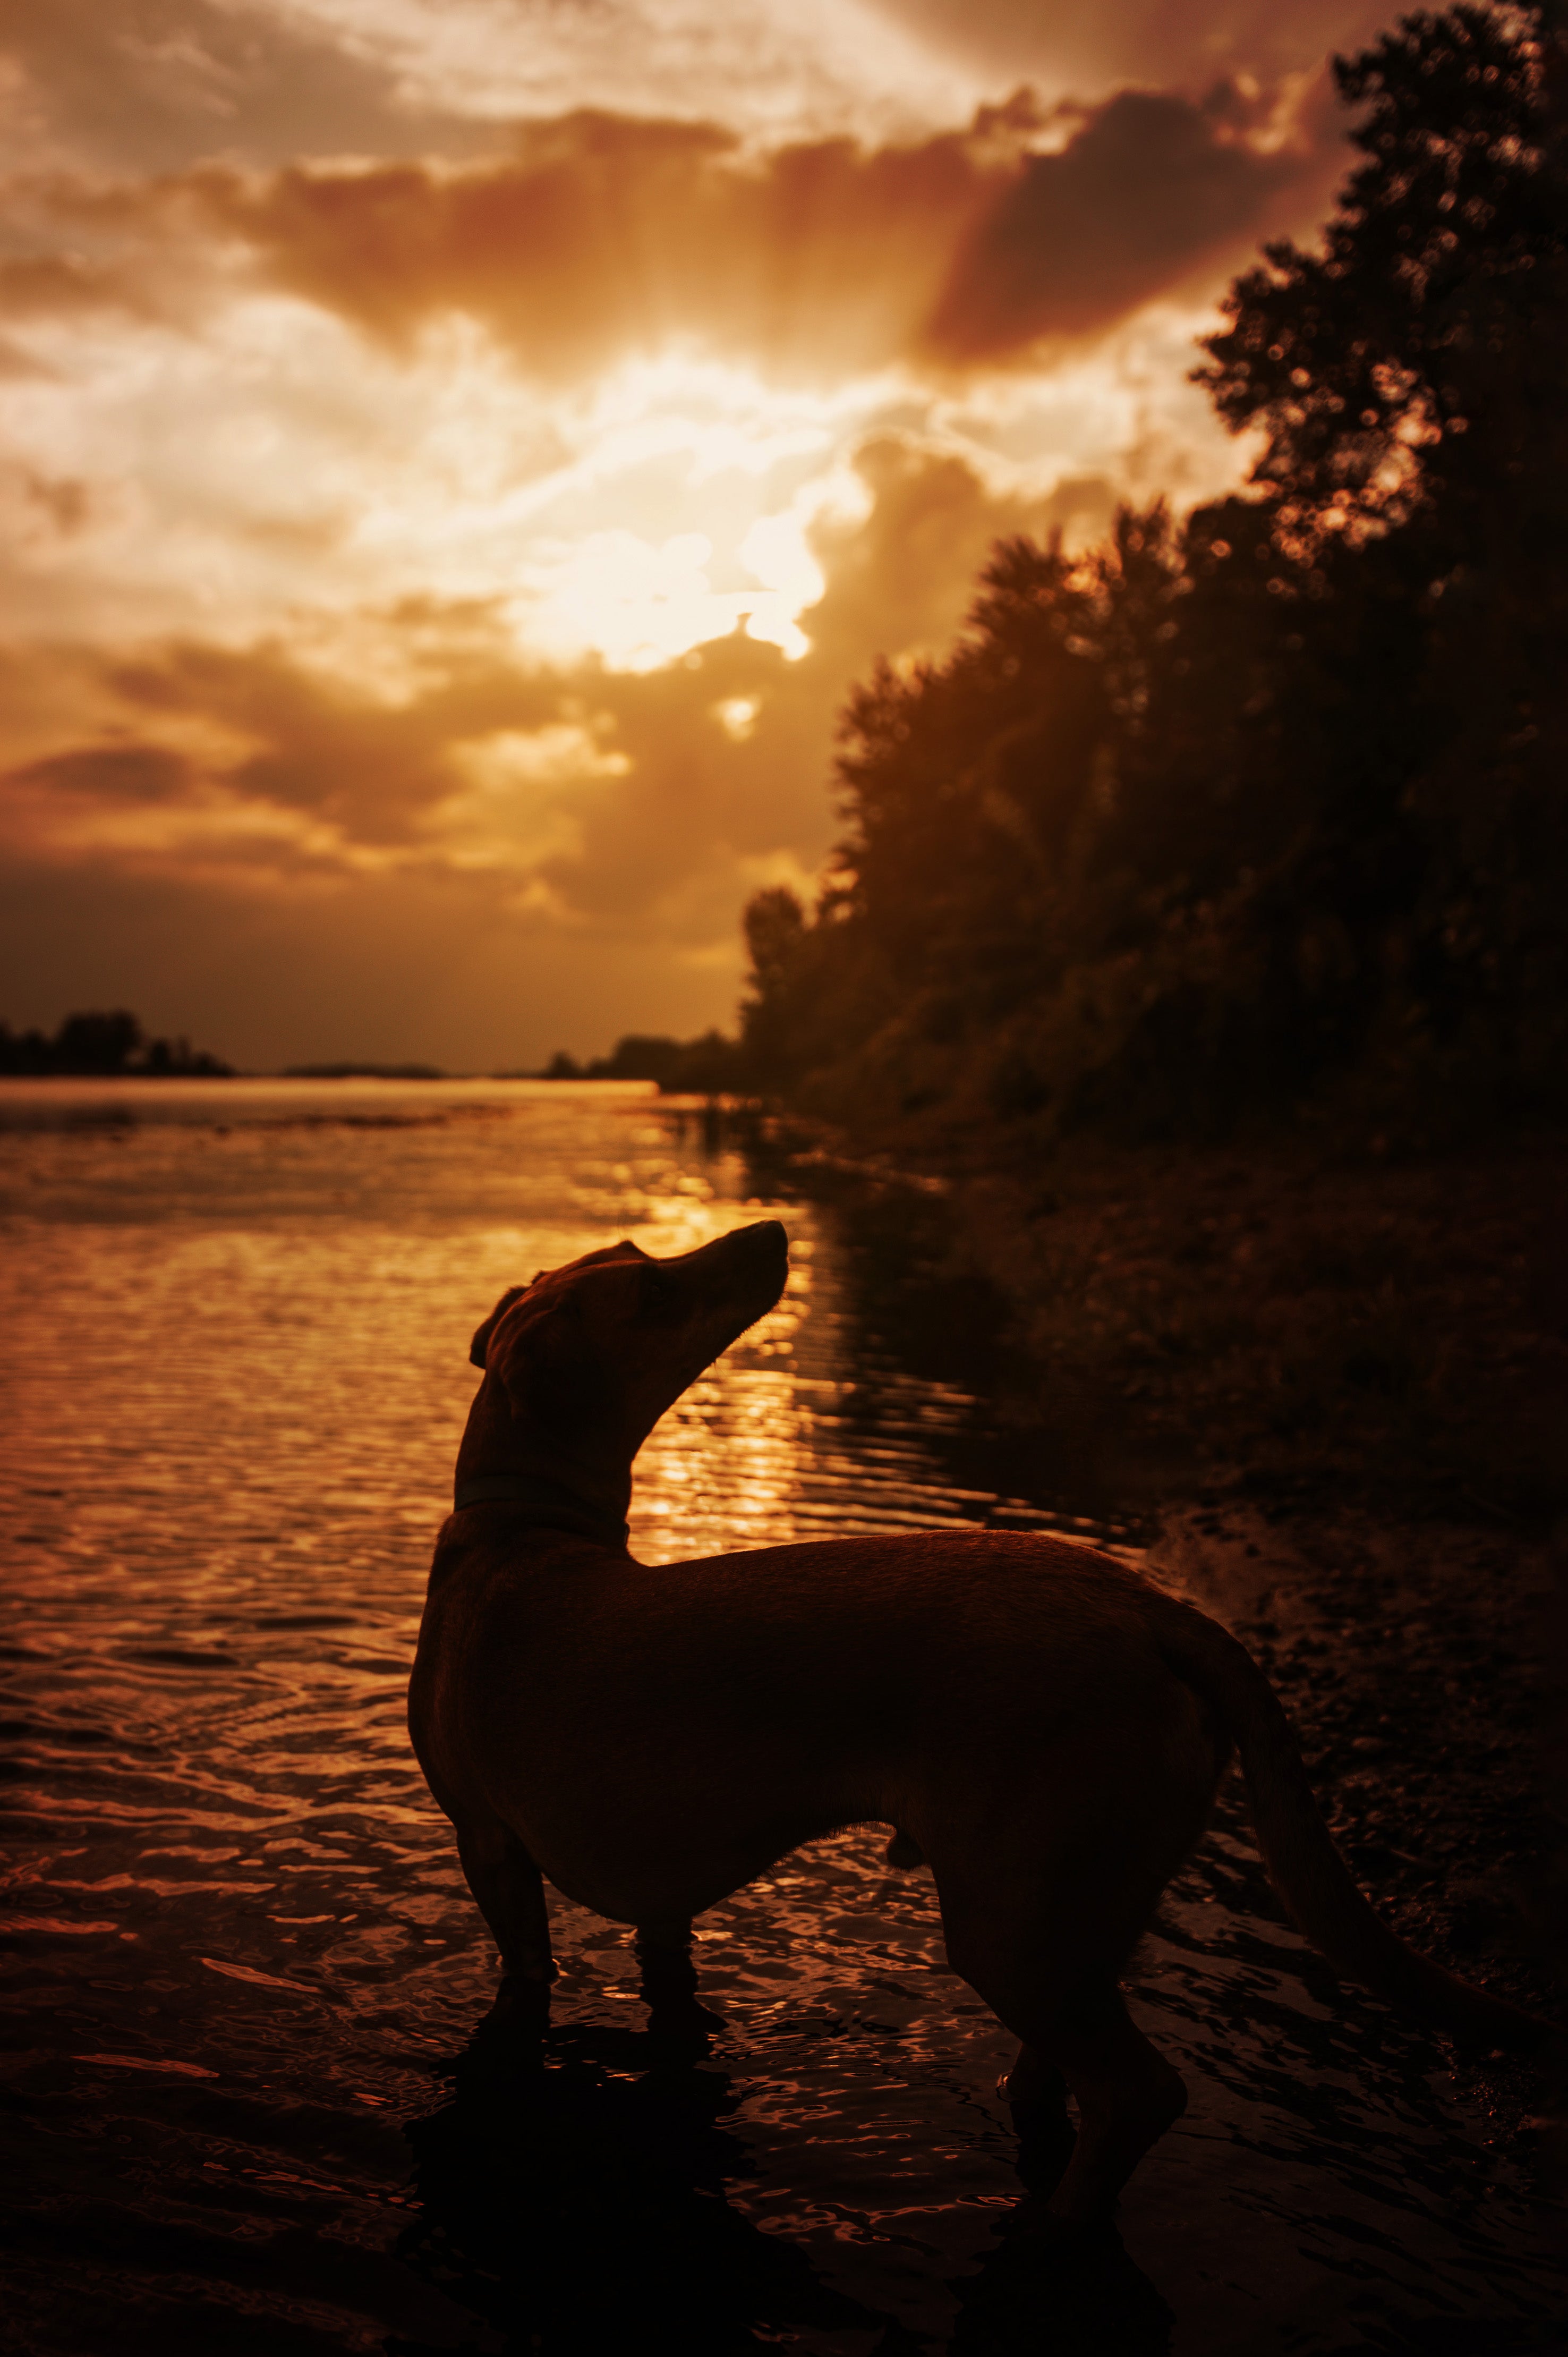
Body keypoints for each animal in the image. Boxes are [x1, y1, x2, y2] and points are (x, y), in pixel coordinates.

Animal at [410, 1216, 1547, 2225]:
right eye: (647, 1282)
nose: (770, 1232)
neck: (521, 1529)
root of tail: (1151, 1607)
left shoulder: (491, 1845)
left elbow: (528, 1970)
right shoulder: (660, 1891)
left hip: (1008, 1922)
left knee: (1140, 2092)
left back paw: (1055, 2232)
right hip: (1083, 1909)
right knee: (1066, 2076)